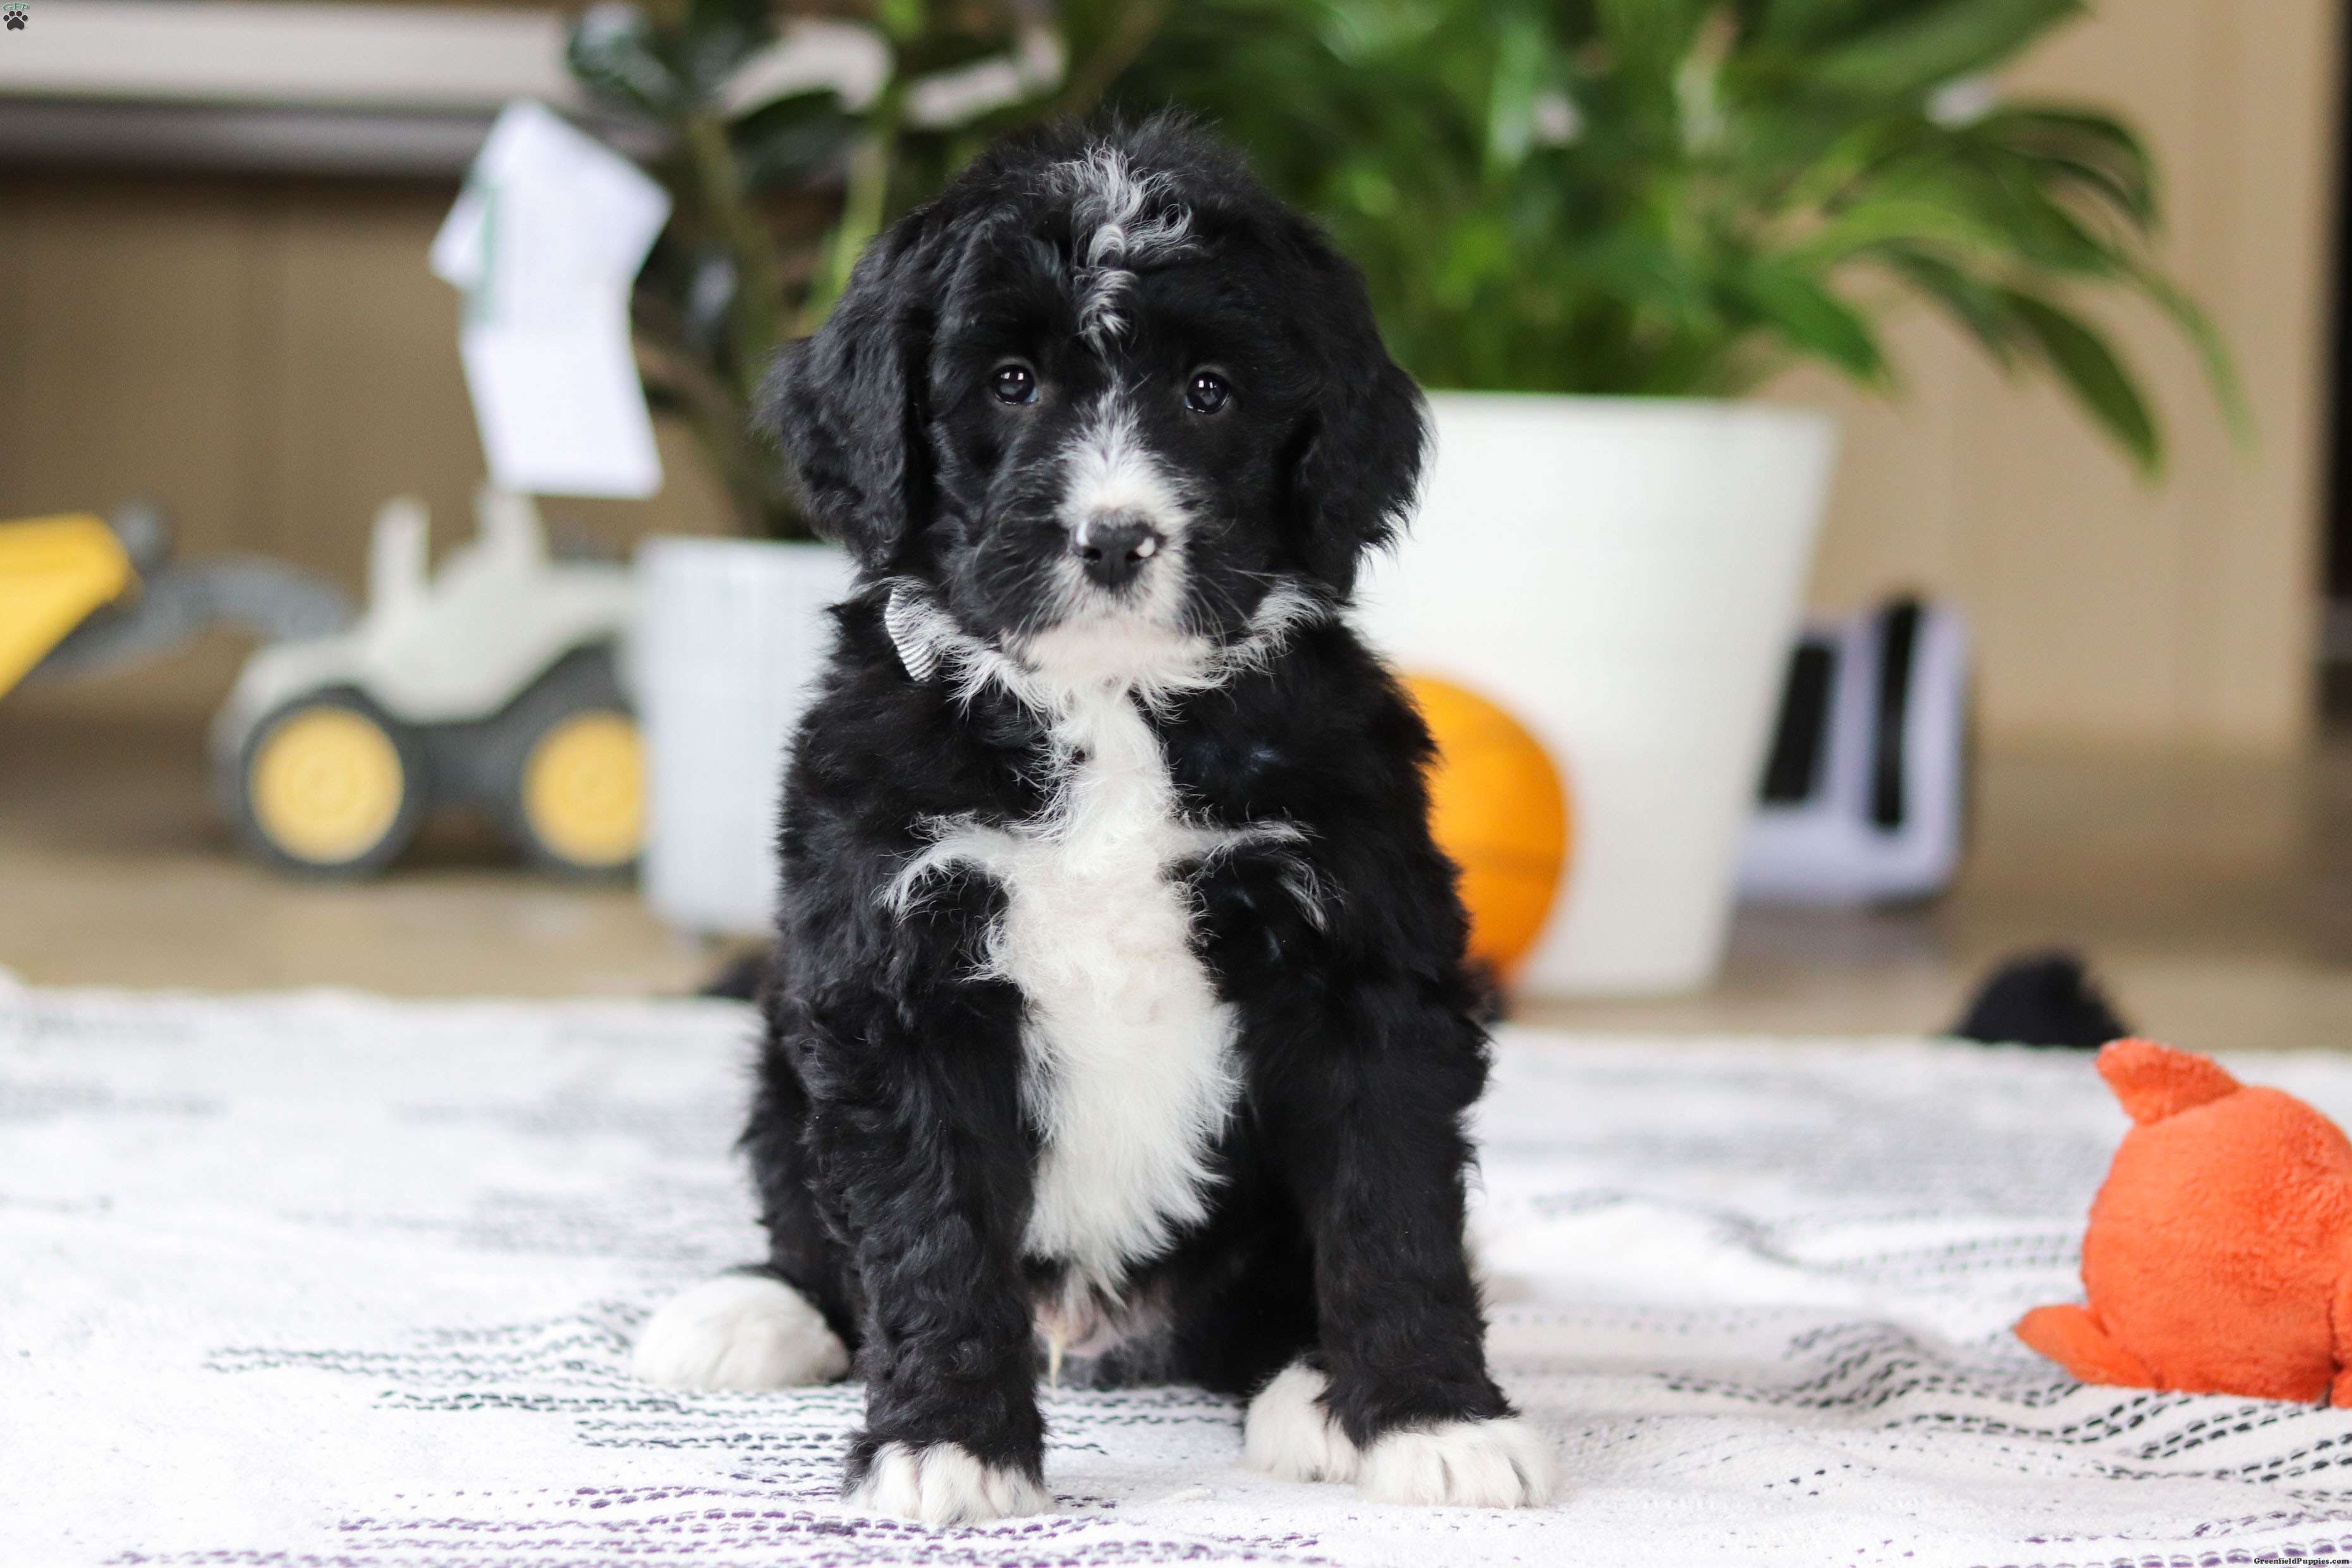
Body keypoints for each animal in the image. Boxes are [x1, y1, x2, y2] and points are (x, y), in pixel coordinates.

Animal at [634, 115, 1553, 1526]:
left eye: (1210, 392)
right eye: (1010, 382)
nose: (1115, 538)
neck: (1112, 704)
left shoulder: (1362, 952)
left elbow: (1391, 1203)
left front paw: (1429, 1417)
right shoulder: (899, 974)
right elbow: (927, 1231)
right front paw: (947, 1441)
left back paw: (1307, 1386)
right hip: (785, 1054)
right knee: (810, 1219)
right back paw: (756, 1311)